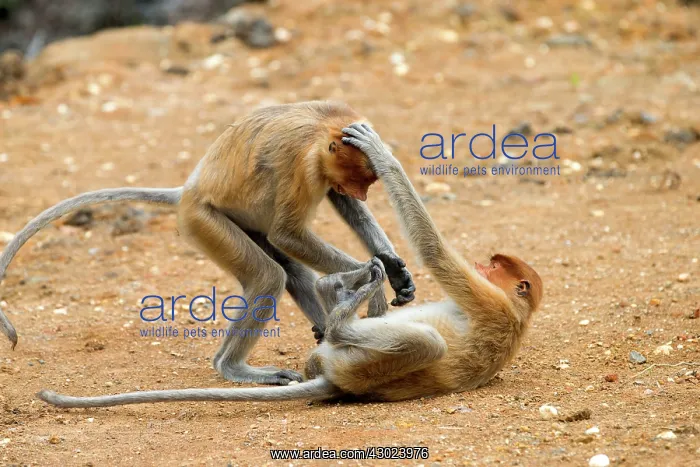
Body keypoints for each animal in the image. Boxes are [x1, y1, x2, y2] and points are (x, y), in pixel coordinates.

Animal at [0, 102, 416, 386]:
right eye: (359, 179)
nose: (362, 193)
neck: (321, 125)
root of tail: (188, 190)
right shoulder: (301, 164)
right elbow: (288, 234)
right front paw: (372, 272)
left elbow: (340, 210)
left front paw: (394, 268)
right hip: (204, 221)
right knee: (268, 275)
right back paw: (235, 367)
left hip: (235, 223)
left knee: (290, 269)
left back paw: (327, 332)